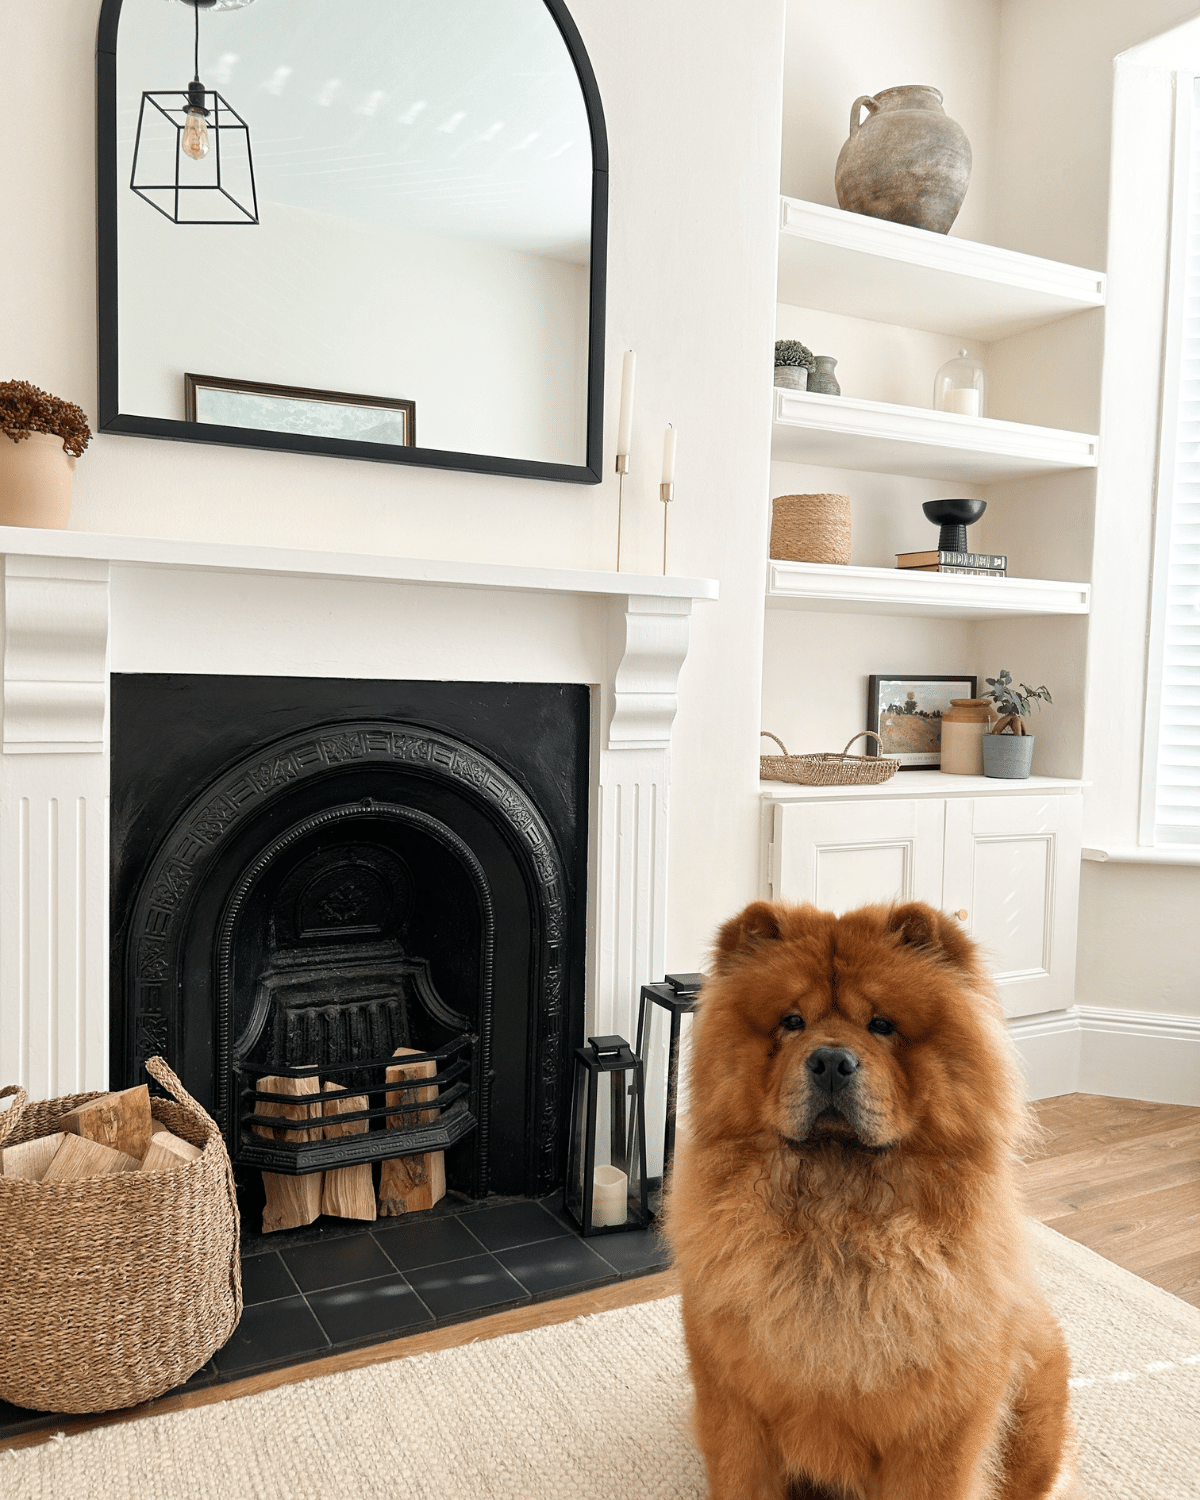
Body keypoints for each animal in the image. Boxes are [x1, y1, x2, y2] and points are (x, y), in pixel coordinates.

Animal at [666, 900, 1080, 1500]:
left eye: (881, 1025)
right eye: (792, 1022)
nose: (830, 1061)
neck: (838, 1226)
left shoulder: (937, 1431)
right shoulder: (735, 1409)